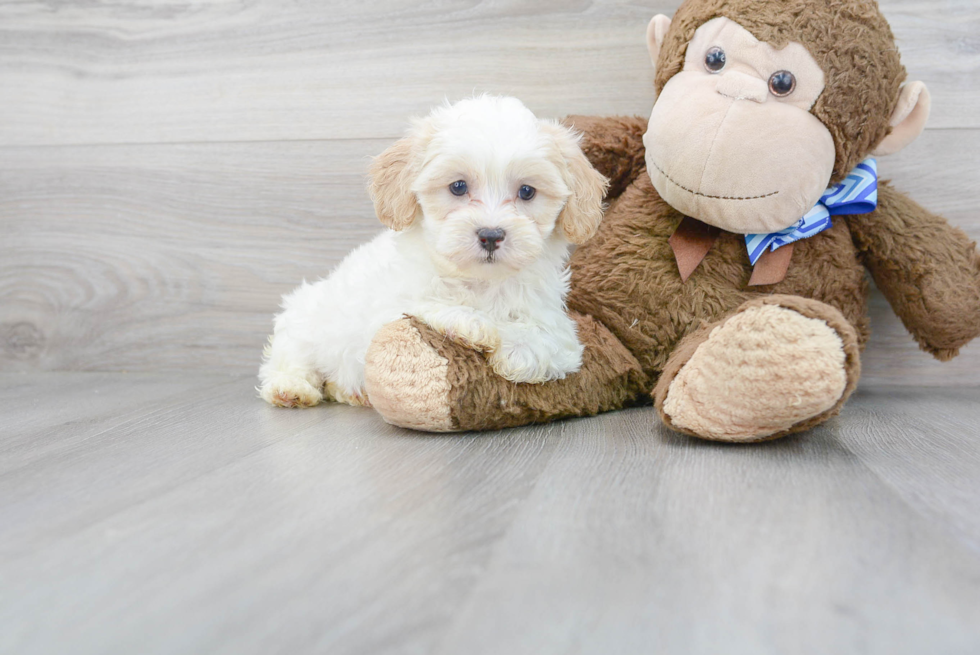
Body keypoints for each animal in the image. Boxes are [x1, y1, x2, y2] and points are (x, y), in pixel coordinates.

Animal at [260, 95, 612, 408]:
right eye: (458, 187)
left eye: (527, 191)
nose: (491, 235)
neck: (481, 282)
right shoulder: (388, 309)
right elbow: (424, 303)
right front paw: (471, 324)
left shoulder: (558, 326)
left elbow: (549, 339)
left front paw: (517, 350)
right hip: (305, 320)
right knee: (290, 358)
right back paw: (291, 389)